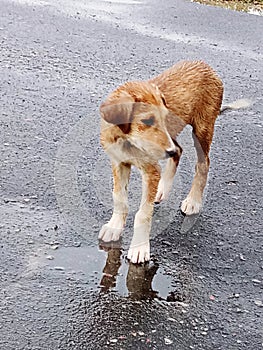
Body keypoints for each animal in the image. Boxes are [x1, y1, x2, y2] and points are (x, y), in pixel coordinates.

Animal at [98, 60, 250, 264]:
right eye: (147, 121)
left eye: (164, 117)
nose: (168, 151)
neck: (127, 140)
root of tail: (206, 66)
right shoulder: (119, 162)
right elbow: (119, 197)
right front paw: (114, 227)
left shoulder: (152, 169)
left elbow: (143, 214)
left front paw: (139, 248)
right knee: (179, 151)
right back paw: (162, 189)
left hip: (202, 129)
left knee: (203, 164)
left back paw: (193, 201)